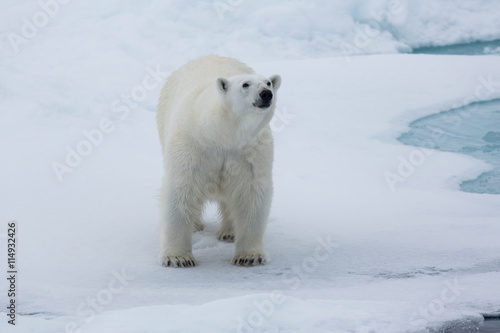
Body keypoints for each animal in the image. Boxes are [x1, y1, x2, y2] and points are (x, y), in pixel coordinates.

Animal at [156, 55, 282, 268]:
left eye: (268, 83)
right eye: (245, 84)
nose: (266, 94)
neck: (220, 134)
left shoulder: (249, 152)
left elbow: (251, 193)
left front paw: (249, 256)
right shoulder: (192, 147)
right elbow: (181, 190)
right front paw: (178, 258)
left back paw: (229, 232)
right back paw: (196, 225)